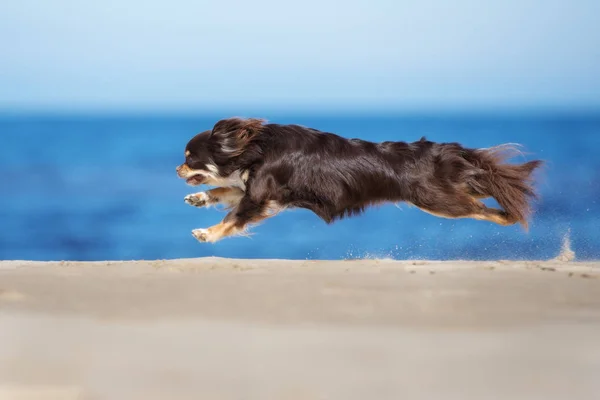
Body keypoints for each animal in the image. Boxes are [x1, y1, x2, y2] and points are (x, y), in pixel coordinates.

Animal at [175, 117, 544, 242]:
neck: (254, 148)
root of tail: (438, 151)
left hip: (436, 201)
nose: (177, 170)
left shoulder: (260, 195)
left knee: (480, 207)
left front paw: (207, 234)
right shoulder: (266, 195)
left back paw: (508, 215)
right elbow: (226, 189)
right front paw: (201, 198)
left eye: (189, 158)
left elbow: (233, 216)